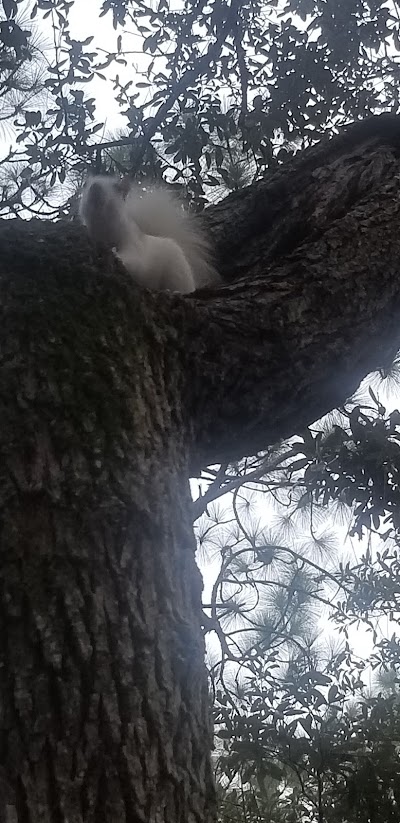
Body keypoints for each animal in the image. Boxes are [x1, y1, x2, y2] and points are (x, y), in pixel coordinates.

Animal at [77, 174, 216, 292]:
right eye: (85, 185)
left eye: (117, 188)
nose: (95, 187)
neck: (102, 224)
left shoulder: (133, 241)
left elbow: (135, 260)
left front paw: (116, 253)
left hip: (177, 271)